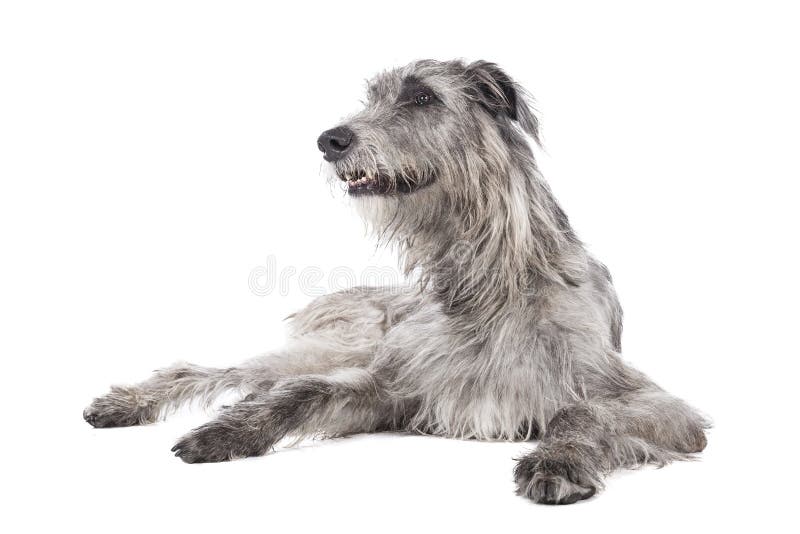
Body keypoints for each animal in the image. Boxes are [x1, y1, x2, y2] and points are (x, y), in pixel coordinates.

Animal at [84, 59, 708, 506]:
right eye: (373, 98)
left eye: (422, 96)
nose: (329, 139)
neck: (488, 285)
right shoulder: (397, 387)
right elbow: (306, 394)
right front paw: (228, 434)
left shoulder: (655, 403)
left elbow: (583, 412)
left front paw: (556, 461)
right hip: (332, 346)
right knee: (222, 372)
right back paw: (128, 402)